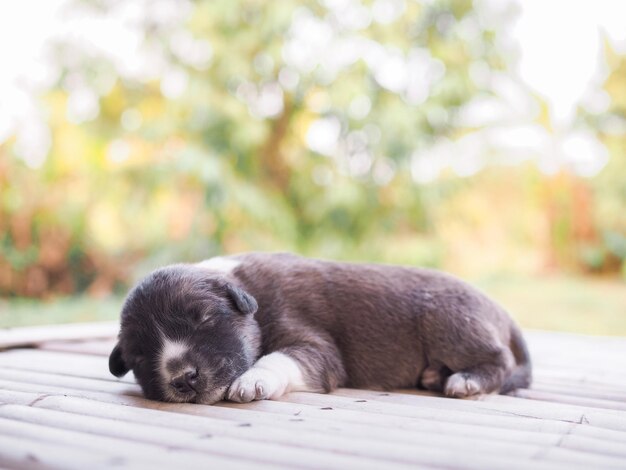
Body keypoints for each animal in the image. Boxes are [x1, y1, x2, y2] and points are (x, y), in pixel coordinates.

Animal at [109, 253, 528, 404]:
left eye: (204, 319)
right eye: (140, 356)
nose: (183, 378)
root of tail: (502, 311)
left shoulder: (313, 343)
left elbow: (279, 358)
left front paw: (253, 380)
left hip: (450, 321)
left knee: (500, 360)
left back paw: (466, 379)